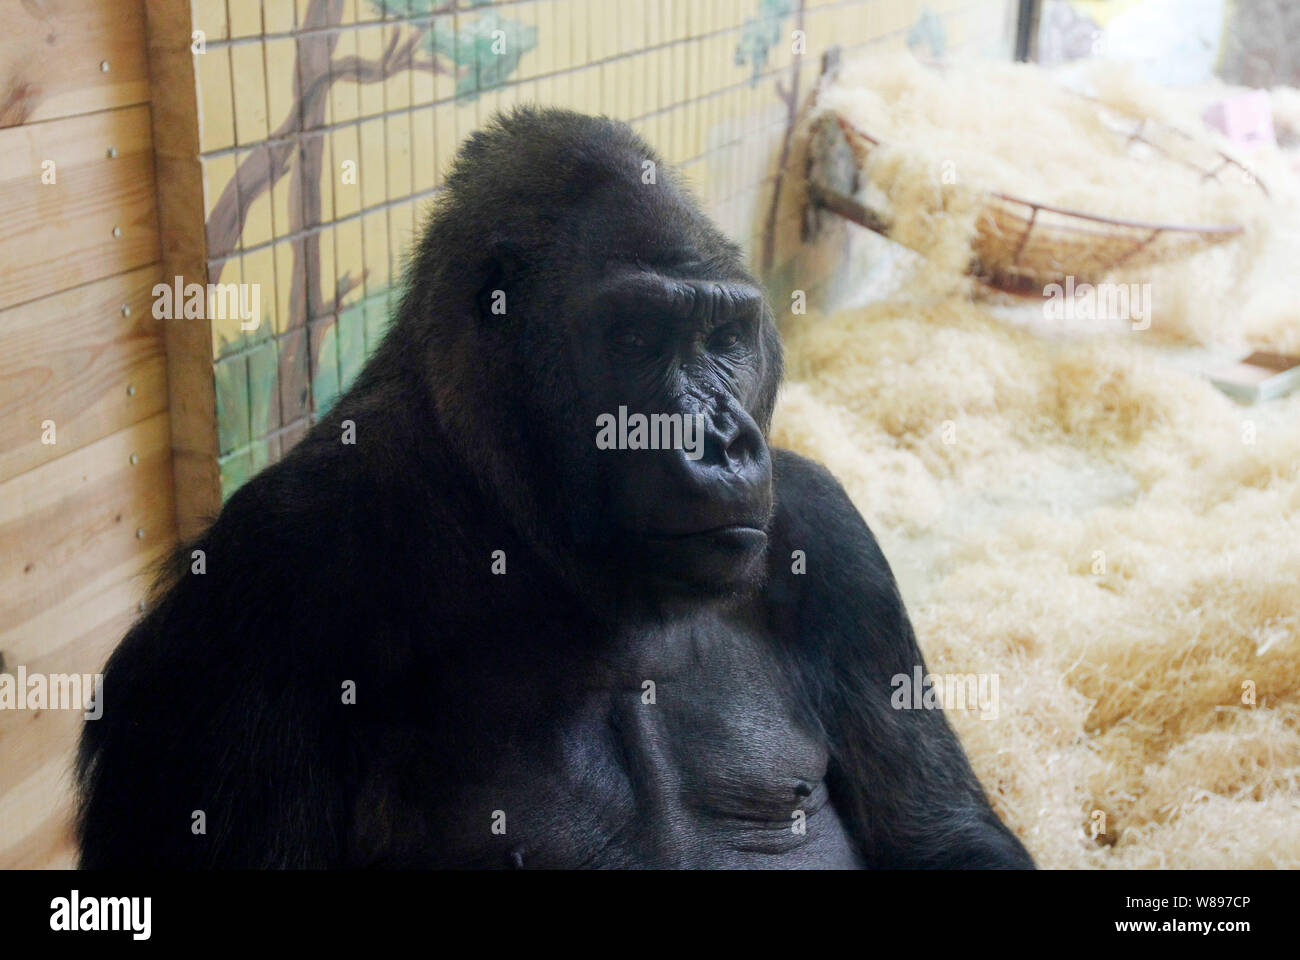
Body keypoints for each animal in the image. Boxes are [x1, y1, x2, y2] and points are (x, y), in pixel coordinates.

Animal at [78, 106, 1034, 868]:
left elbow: (942, 832)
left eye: (726, 337)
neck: (501, 511)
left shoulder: (828, 537)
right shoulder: (263, 587)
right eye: (638, 338)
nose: (724, 442)